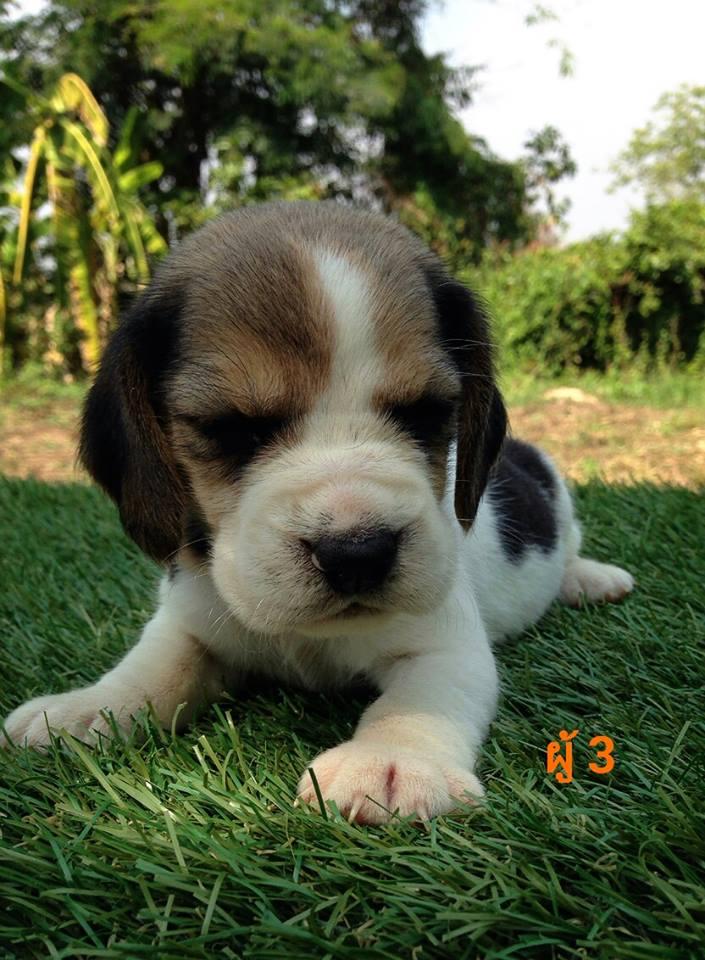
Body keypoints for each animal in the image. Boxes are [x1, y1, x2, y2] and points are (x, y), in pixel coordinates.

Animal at [2, 202, 634, 822]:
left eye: (428, 413)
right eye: (231, 428)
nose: (358, 552)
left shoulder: (444, 643)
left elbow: (418, 702)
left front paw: (390, 761)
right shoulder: (186, 617)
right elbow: (151, 668)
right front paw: (84, 710)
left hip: (561, 498)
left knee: (570, 548)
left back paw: (591, 579)